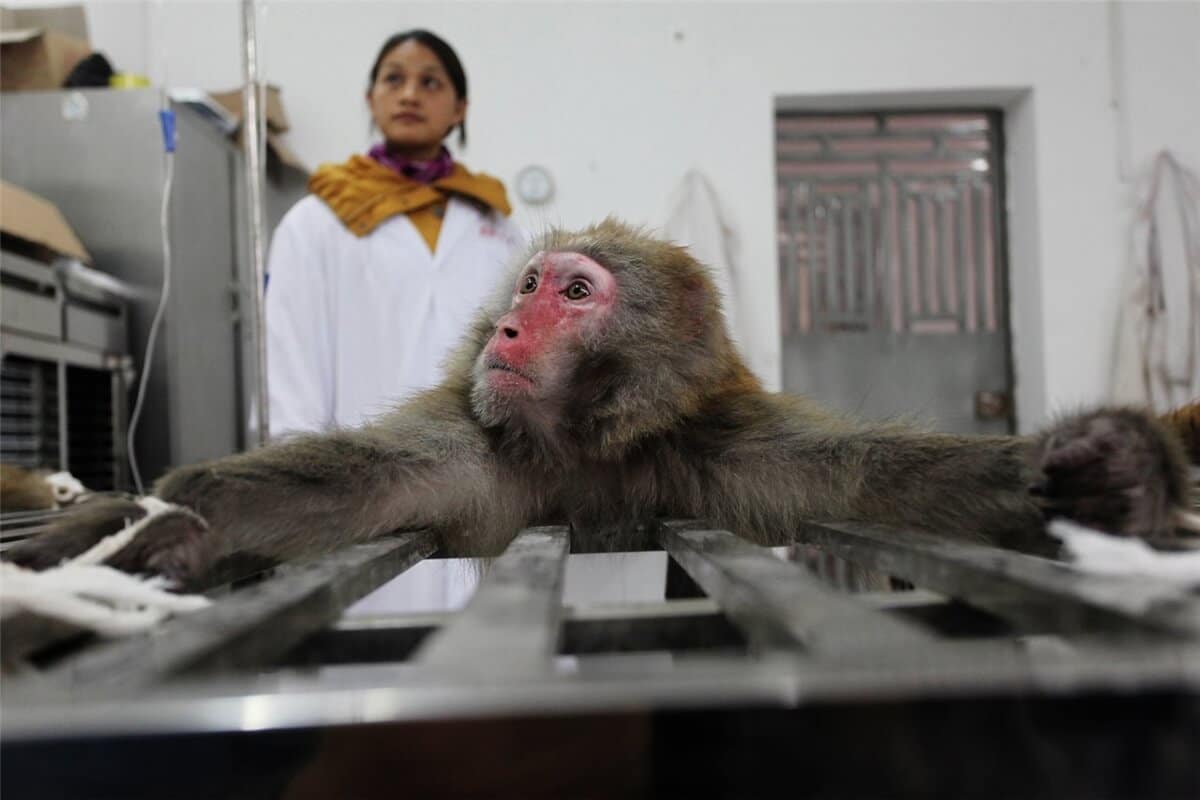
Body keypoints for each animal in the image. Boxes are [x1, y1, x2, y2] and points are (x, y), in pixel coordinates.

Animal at [3, 219, 1195, 584]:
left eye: (576, 294)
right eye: (530, 282)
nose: (509, 327)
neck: (581, 446)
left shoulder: (723, 448)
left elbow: (880, 486)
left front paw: (1109, 471)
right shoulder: (472, 446)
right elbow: (317, 493)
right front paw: (171, 524)